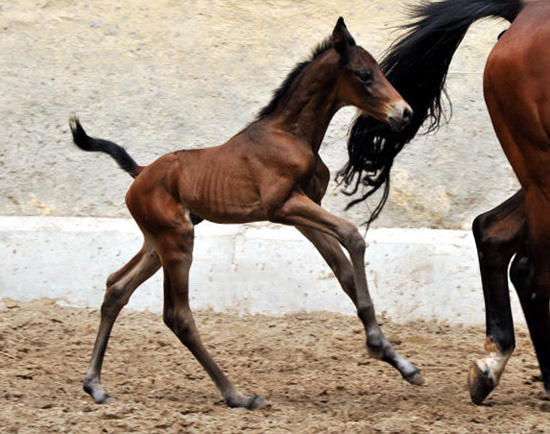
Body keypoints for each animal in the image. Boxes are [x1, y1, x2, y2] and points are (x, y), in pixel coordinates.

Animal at [69, 17, 422, 410]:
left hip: (157, 243)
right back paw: (236, 395)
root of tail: (140, 172)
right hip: (178, 241)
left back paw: (95, 385)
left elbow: (344, 271)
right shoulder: (283, 207)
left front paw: (402, 363)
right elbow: (353, 236)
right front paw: (375, 344)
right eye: (364, 74)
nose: (404, 113)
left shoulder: (304, 210)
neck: (290, 134)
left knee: (116, 287)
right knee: (178, 316)